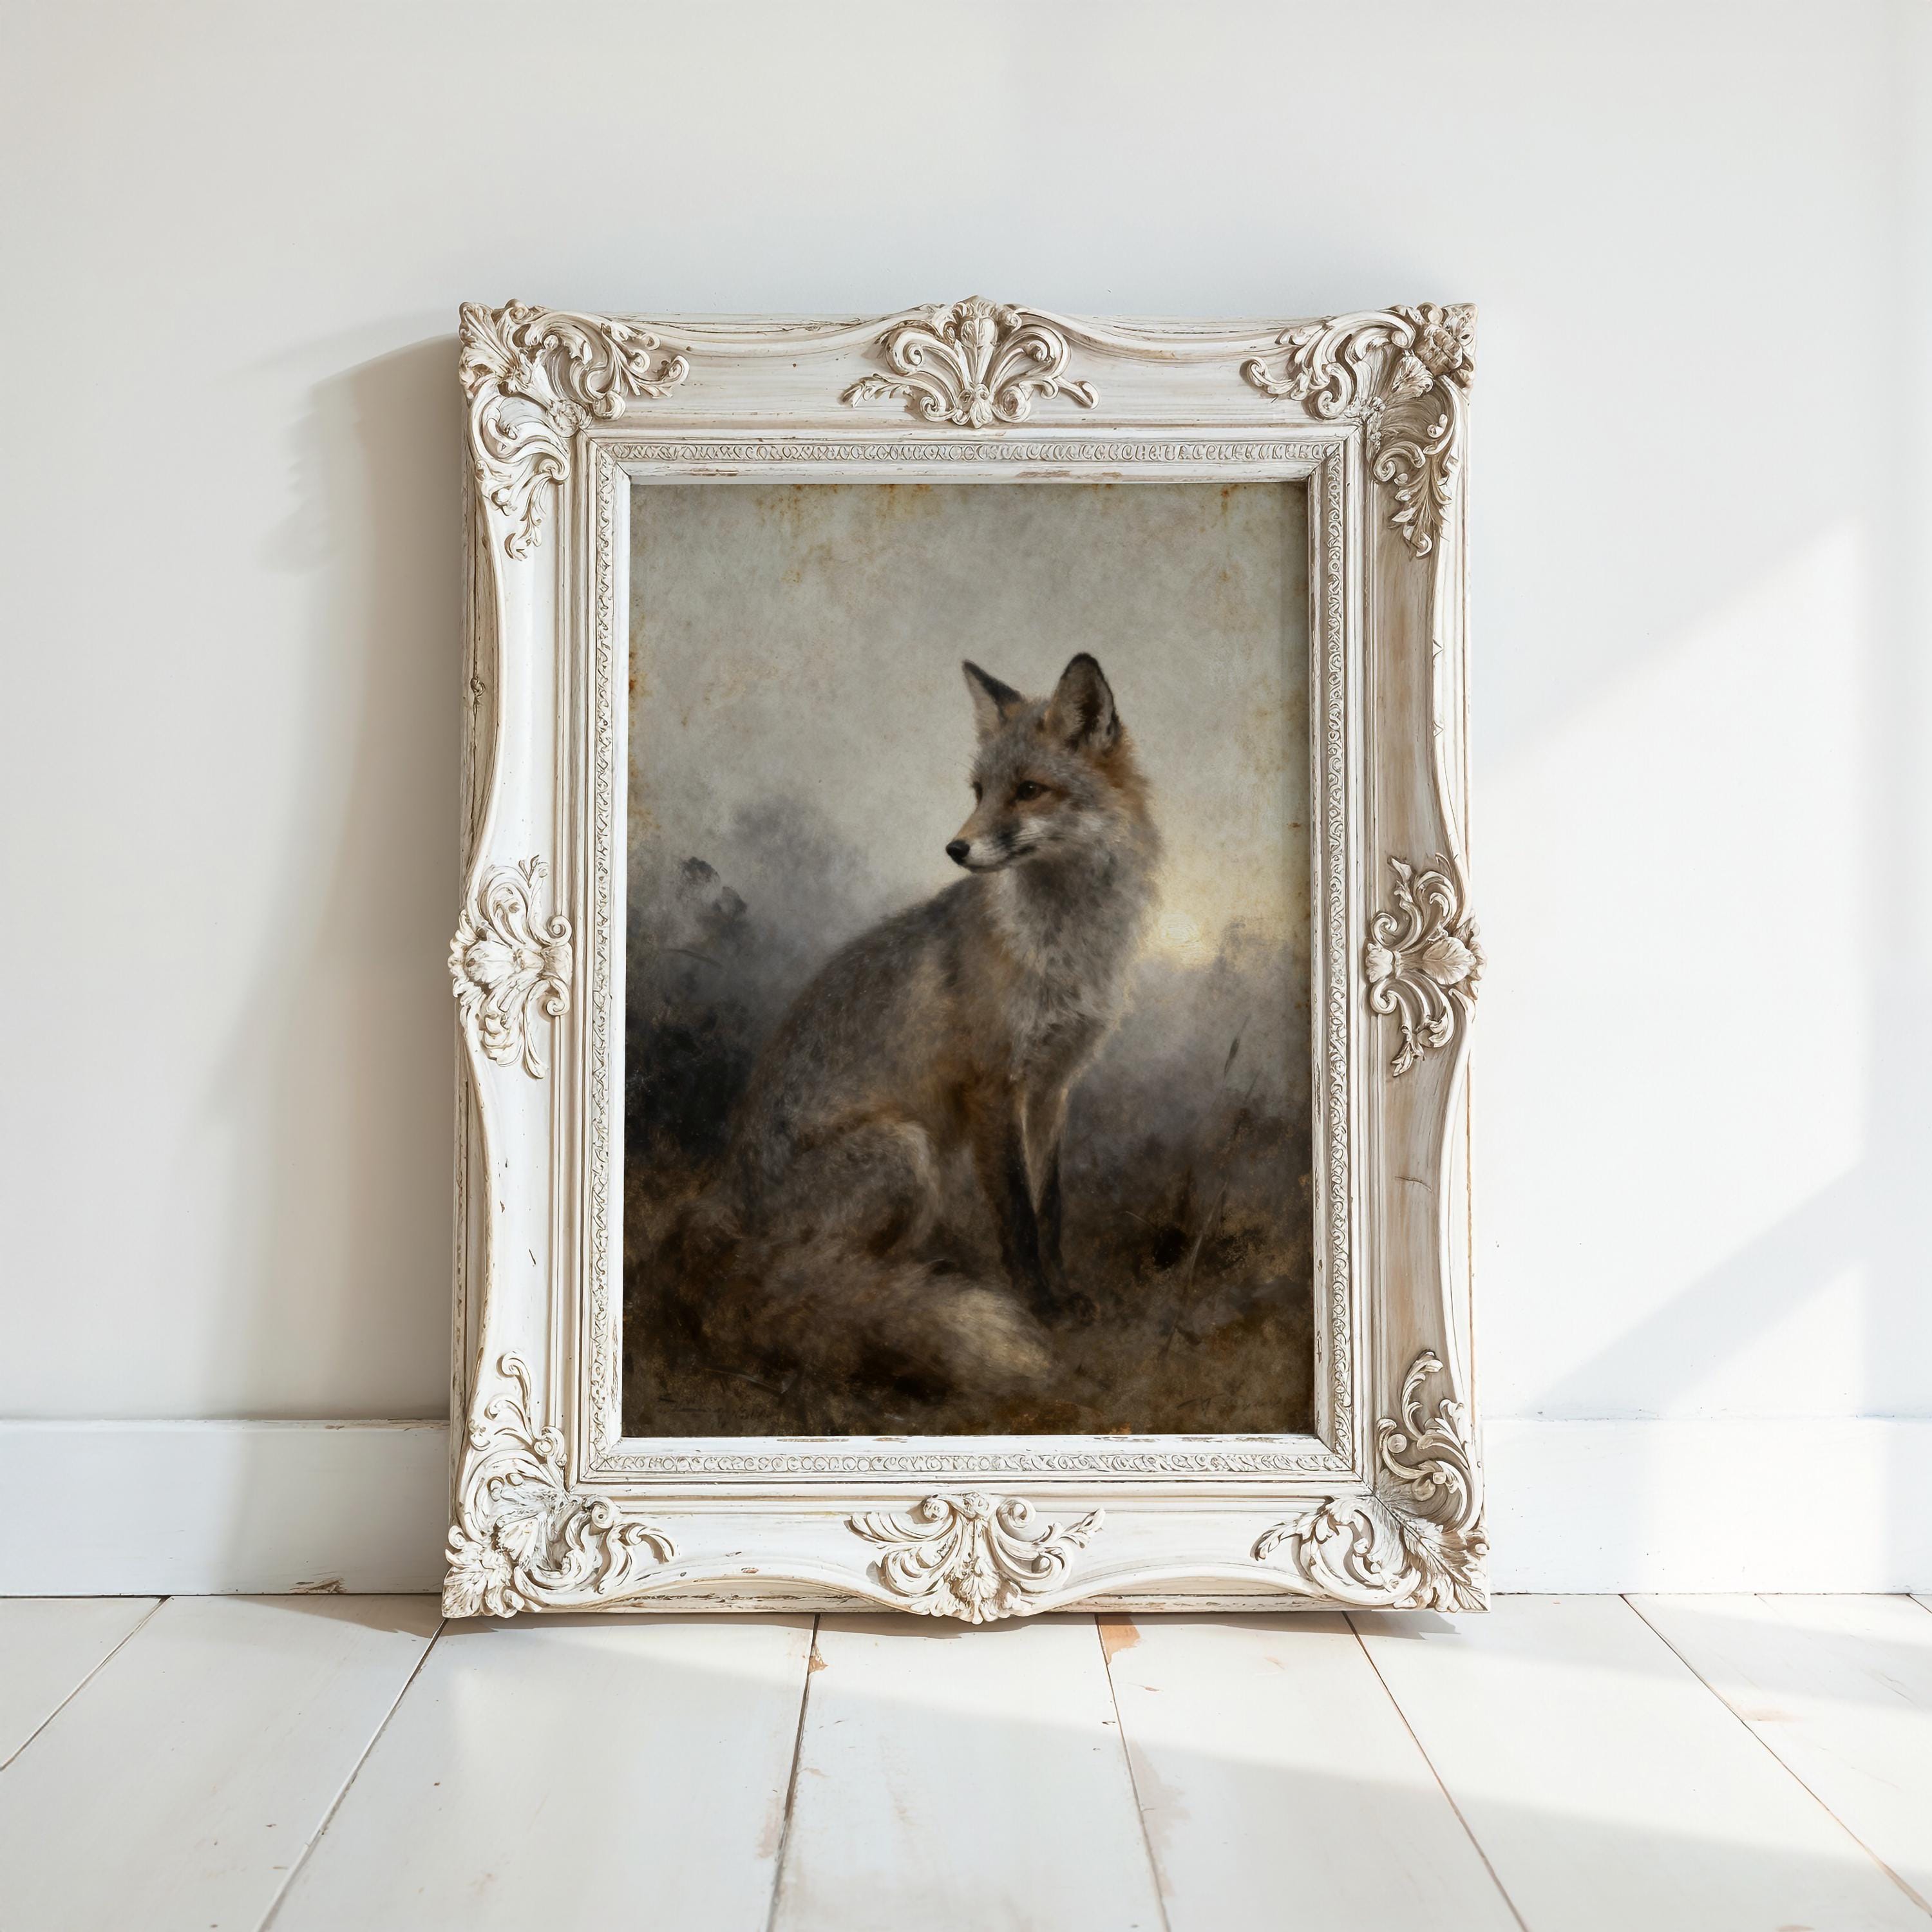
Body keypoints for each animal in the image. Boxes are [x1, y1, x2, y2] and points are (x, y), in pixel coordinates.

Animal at [659, 652, 1162, 1405]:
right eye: (979, 790)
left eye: (1029, 791)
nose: (956, 848)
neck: (1063, 950)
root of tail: (722, 1201)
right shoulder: (993, 1086)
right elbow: (1017, 1218)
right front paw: (1040, 1307)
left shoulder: (1053, 1086)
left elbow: (1050, 1208)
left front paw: (1065, 1294)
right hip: (905, 1148)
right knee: (810, 1273)